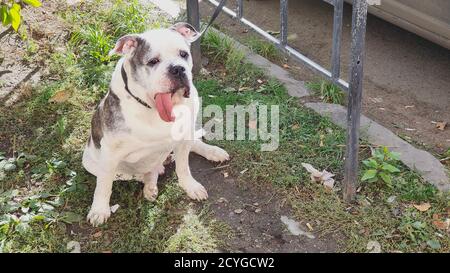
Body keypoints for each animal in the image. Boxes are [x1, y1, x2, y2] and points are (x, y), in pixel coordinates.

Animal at [82, 22, 229, 225]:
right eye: (152, 61)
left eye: (184, 54)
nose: (177, 69)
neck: (153, 108)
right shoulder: (110, 153)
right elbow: (104, 185)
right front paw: (99, 210)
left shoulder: (184, 135)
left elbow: (183, 167)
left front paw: (190, 186)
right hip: (93, 162)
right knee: (136, 174)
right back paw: (150, 184)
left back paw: (213, 152)